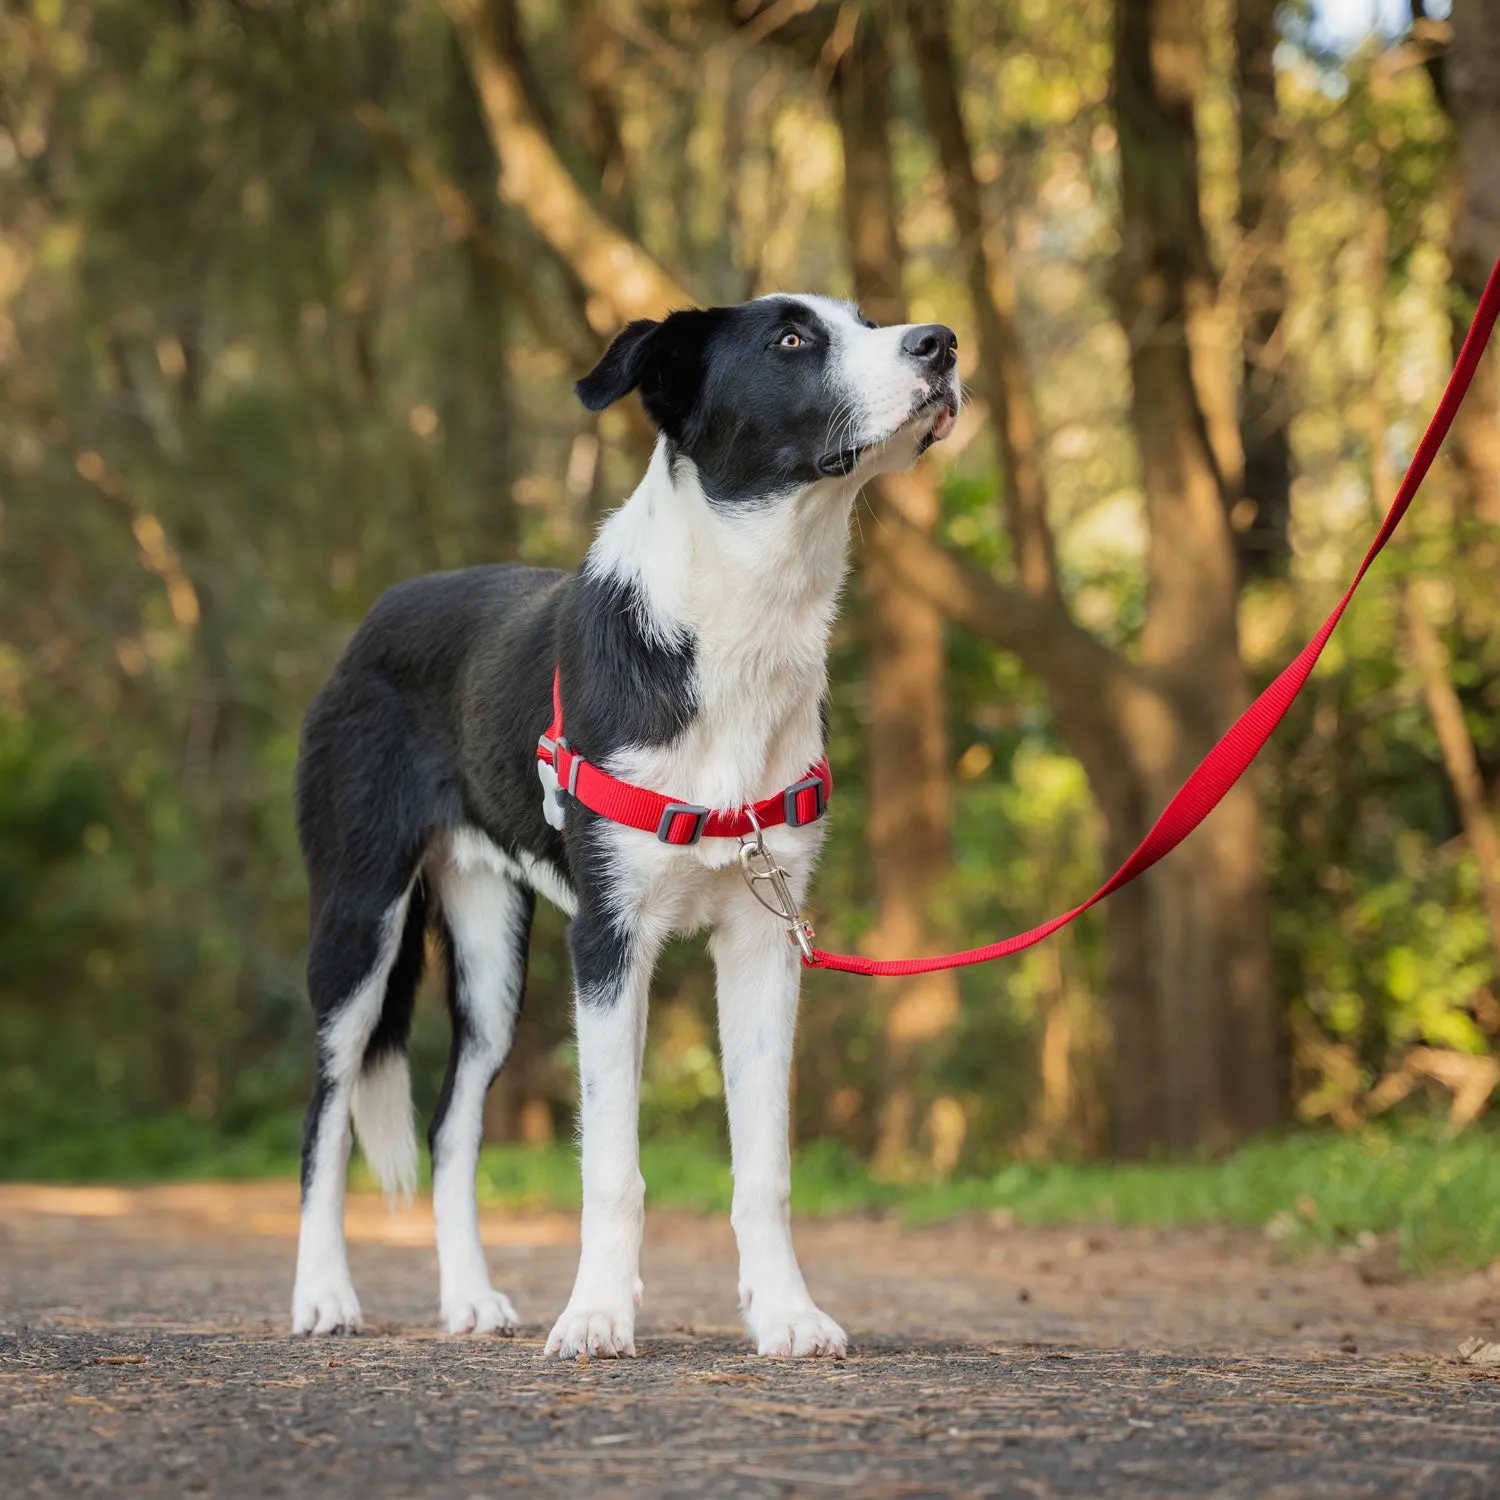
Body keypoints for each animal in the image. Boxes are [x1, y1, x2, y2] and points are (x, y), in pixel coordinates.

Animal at [286, 292, 954, 1362]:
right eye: (791, 339)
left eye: (869, 319)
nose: (943, 343)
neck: (739, 624)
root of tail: (373, 620)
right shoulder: (608, 939)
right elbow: (610, 1166)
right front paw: (598, 1315)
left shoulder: (764, 937)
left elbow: (763, 1166)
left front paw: (785, 1313)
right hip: (358, 922)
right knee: (326, 1107)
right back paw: (323, 1295)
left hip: (492, 959)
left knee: (451, 1126)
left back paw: (471, 1299)